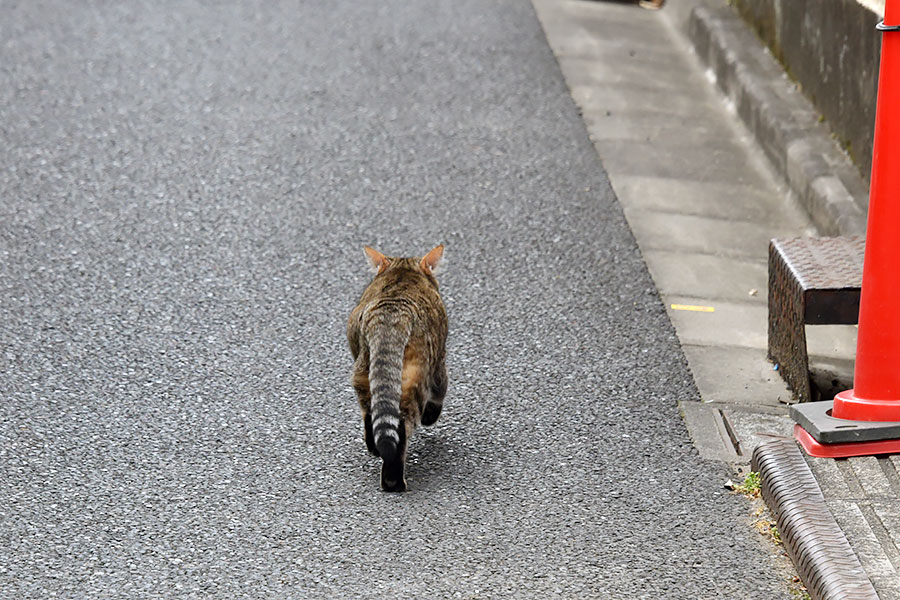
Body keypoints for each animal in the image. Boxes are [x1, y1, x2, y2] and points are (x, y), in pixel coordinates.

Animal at [346, 244, 448, 492]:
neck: (403, 272)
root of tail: (391, 313)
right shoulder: (439, 361)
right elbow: (440, 391)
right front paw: (431, 416)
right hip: (416, 375)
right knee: (402, 426)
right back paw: (393, 480)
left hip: (363, 373)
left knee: (372, 413)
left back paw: (374, 448)